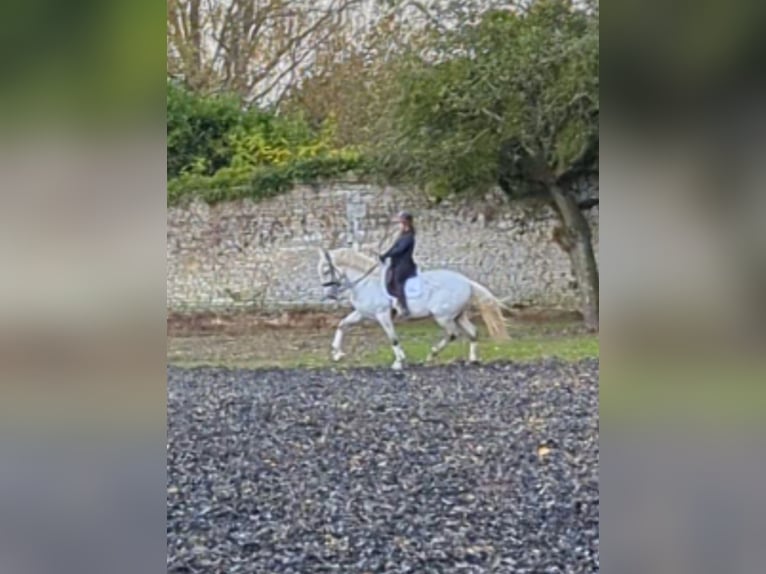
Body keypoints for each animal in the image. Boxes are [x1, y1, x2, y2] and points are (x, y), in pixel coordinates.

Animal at [317, 247, 509, 370]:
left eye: (326, 270)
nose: (329, 295)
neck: (366, 282)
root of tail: (466, 281)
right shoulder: (361, 313)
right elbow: (342, 325)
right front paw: (337, 354)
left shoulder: (382, 315)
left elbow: (393, 338)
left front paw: (399, 362)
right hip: (458, 315)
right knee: (472, 332)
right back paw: (473, 360)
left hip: (444, 317)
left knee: (453, 334)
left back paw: (431, 355)